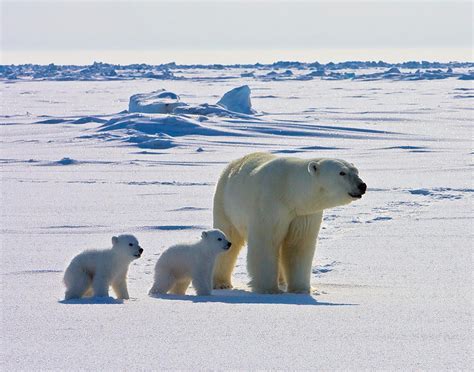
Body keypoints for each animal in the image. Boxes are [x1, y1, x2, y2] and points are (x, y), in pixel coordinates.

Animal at [212, 151, 366, 294]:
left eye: (356, 171)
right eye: (342, 172)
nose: (362, 185)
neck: (289, 191)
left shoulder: (303, 214)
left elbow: (298, 245)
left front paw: (301, 289)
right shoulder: (270, 206)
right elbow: (266, 242)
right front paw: (269, 289)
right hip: (225, 204)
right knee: (228, 238)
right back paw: (221, 283)